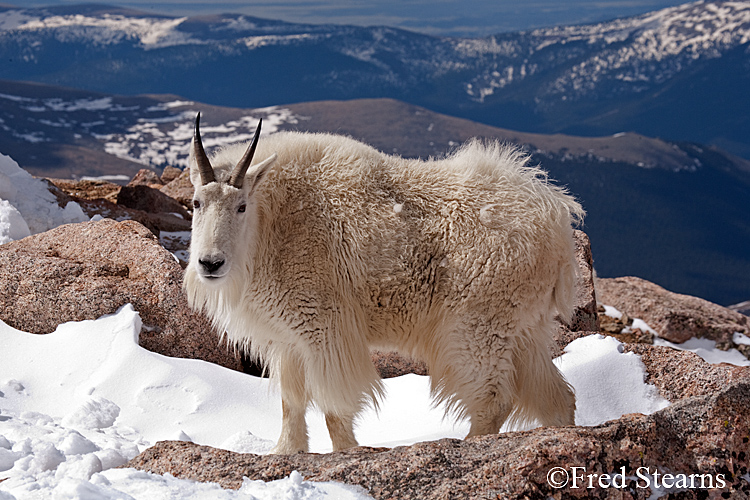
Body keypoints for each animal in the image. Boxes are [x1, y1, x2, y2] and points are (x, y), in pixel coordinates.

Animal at [185, 113, 584, 454]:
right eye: (195, 203)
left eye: (241, 206)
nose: (211, 263)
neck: (274, 224)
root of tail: (557, 223)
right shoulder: (288, 339)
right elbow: (291, 402)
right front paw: (285, 453)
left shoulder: (323, 326)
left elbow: (335, 406)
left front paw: (346, 453)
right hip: (523, 327)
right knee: (557, 397)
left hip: (477, 324)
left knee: (493, 398)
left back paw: (470, 445)